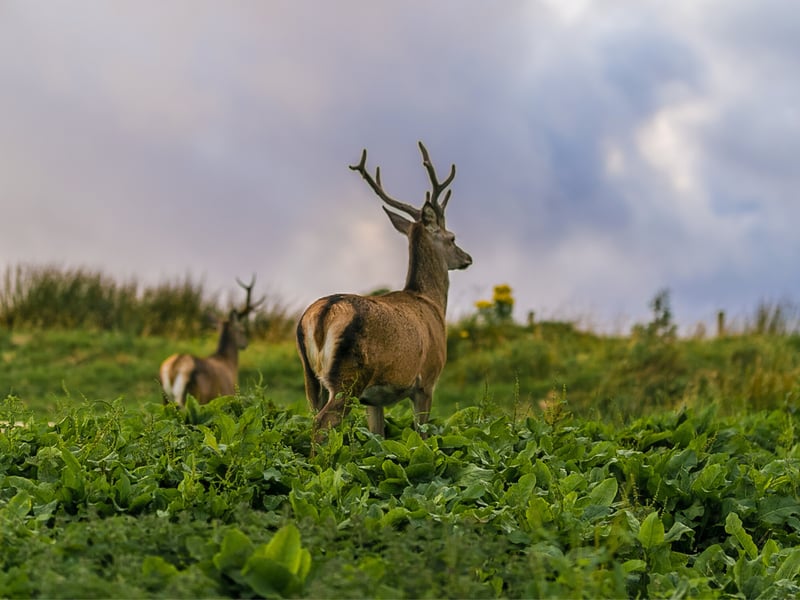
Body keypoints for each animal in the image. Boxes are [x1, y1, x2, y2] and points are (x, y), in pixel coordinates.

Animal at [160, 276, 264, 407]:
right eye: (242, 330)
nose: (246, 344)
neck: (228, 363)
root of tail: (173, 367)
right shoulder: (228, 395)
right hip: (193, 397)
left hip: (165, 399)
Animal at [296, 141, 472, 438]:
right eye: (452, 238)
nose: (467, 258)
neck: (432, 303)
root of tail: (323, 314)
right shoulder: (427, 380)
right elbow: (422, 434)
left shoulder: (373, 400)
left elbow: (377, 436)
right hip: (349, 375)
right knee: (322, 422)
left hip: (310, 375)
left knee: (310, 415)